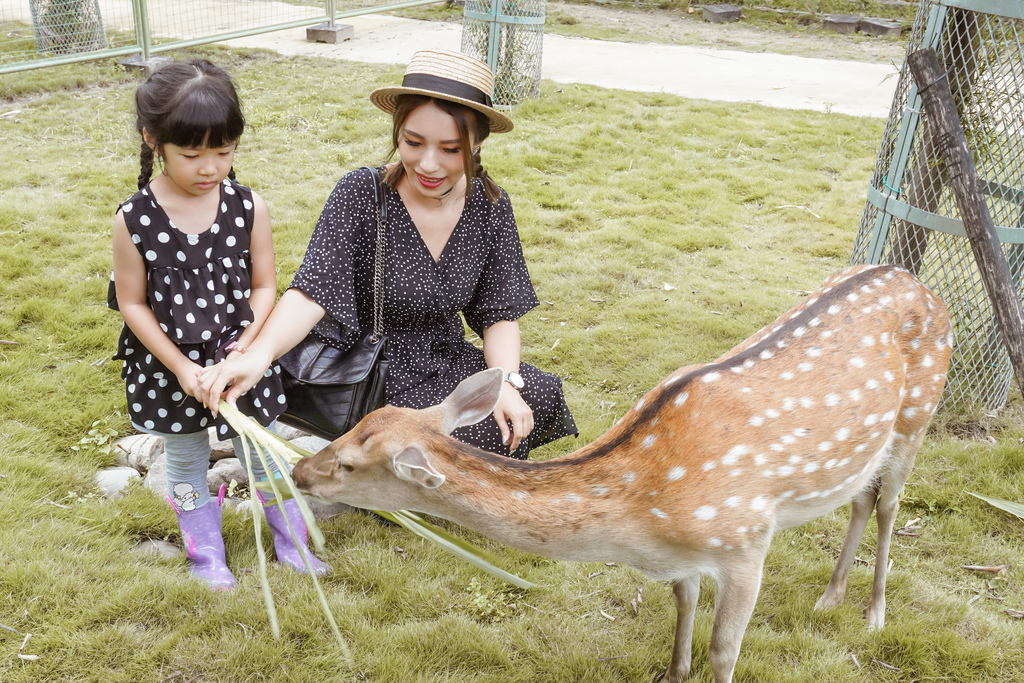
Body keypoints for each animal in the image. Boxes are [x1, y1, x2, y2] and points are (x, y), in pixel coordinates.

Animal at [294, 264, 950, 679]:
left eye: (347, 462)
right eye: (354, 424)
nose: (299, 472)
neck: (642, 518)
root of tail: (920, 282)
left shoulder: (746, 540)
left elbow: (723, 651)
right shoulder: (680, 559)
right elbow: (683, 609)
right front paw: (671, 675)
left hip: (917, 416)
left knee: (890, 504)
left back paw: (873, 614)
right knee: (861, 497)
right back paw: (829, 598)